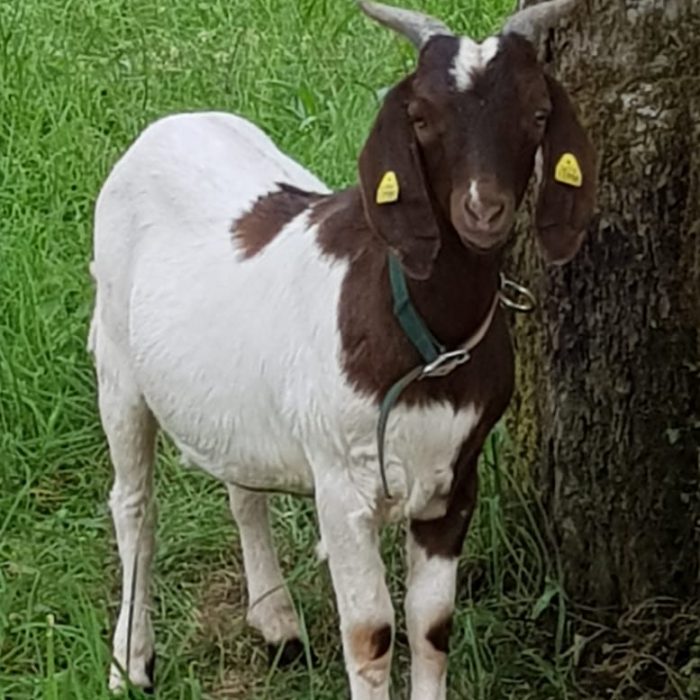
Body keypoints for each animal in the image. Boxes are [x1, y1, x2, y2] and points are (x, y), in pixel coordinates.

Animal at [90, 1, 596, 698]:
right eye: (420, 116)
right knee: (134, 505)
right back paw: (130, 661)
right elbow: (372, 634)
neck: (424, 343)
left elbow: (432, 626)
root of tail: (172, 123)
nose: (482, 211)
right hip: (116, 361)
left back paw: (276, 621)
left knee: (242, 486)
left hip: (232, 397)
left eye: (539, 113)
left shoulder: (453, 481)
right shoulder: (342, 487)